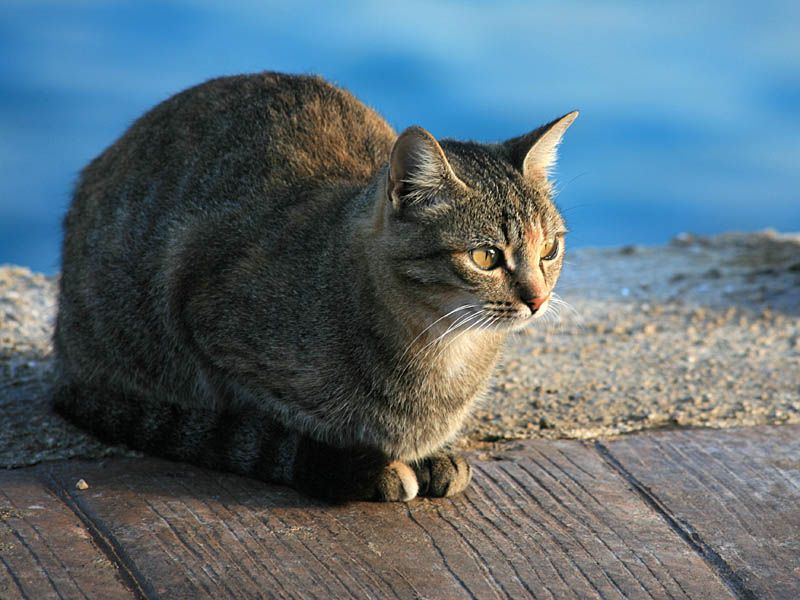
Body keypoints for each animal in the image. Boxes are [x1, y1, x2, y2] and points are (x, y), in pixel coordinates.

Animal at [53, 70, 580, 502]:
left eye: (549, 249)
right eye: (485, 256)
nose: (537, 299)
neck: (444, 347)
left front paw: (428, 455)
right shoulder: (205, 320)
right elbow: (263, 423)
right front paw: (354, 463)